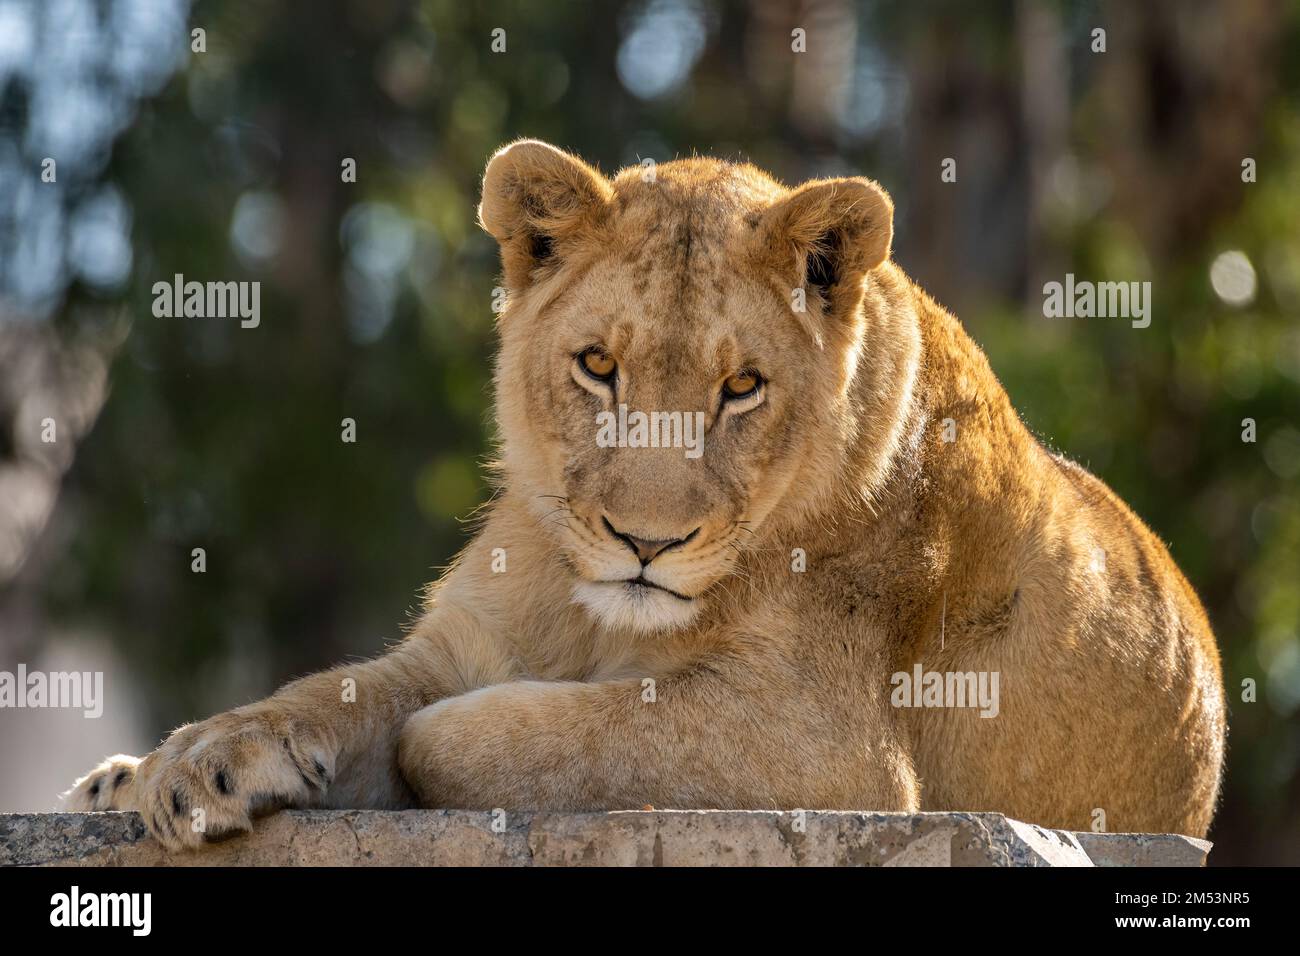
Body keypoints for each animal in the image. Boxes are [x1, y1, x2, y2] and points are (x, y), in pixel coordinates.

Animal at [68, 140, 1227, 842]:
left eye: (742, 387)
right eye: (597, 366)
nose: (645, 542)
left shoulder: (827, 746)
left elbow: (459, 733)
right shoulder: (462, 641)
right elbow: (331, 690)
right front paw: (192, 759)